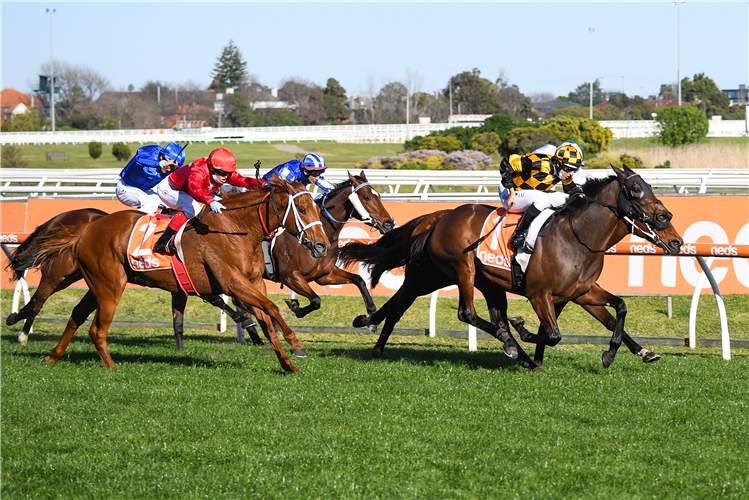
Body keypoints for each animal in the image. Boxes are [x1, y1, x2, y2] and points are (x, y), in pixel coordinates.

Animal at [31, 178, 330, 374]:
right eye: (303, 210)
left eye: (317, 209)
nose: (322, 245)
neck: (236, 228)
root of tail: (87, 230)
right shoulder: (233, 283)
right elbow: (272, 309)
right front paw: (296, 344)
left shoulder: (253, 282)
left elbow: (267, 320)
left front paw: (288, 363)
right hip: (110, 286)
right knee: (95, 329)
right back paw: (111, 368)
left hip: (97, 285)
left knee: (77, 316)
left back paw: (52, 356)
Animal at [342, 165, 680, 372]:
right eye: (635, 190)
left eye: (649, 186)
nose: (670, 226)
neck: (578, 236)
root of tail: (440, 217)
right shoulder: (540, 293)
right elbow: (551, 333)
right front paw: (525, 335)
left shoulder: (582, 292)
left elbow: (617, 310)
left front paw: (627, 352)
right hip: (458, 269)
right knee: (464, 313)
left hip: (458, 278)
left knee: (403, 304)